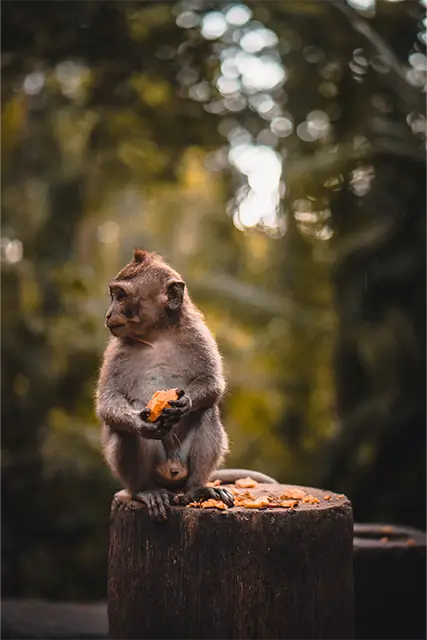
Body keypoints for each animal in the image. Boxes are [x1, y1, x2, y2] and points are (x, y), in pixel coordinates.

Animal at [96, 248, 235, 521]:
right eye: (114, 296)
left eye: (121, 296)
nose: (108, 314)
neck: (157, 335)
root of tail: (172, 475)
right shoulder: (116, 351)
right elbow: (107, 402)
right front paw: (138, 422)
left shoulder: (198, 335)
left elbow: (212, 383)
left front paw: (184, 403)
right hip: (153, 472)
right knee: (125, 433)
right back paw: (146, 490)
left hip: (182, 465)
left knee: (207, 411)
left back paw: (197, 489)